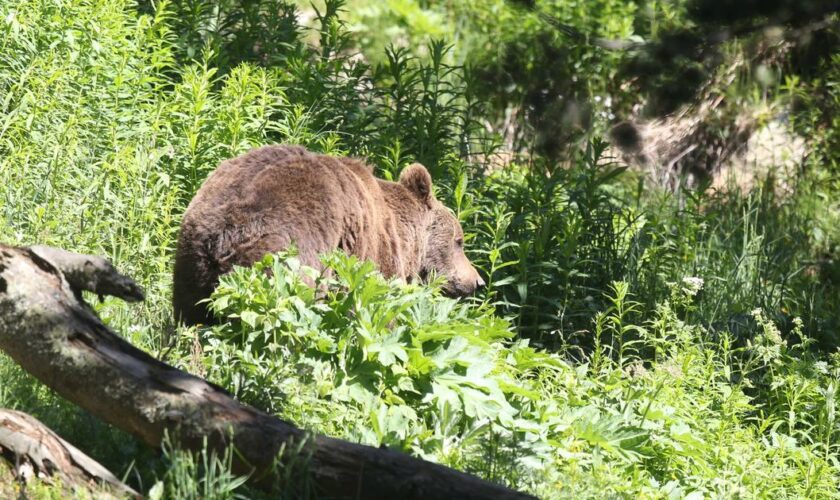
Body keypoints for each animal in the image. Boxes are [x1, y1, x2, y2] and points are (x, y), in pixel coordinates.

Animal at [173, 145, 482, 326]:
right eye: (459, 241)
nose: (477, 281)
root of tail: (224, 234)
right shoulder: (369, 259)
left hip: (191, 261)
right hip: (285, 260)